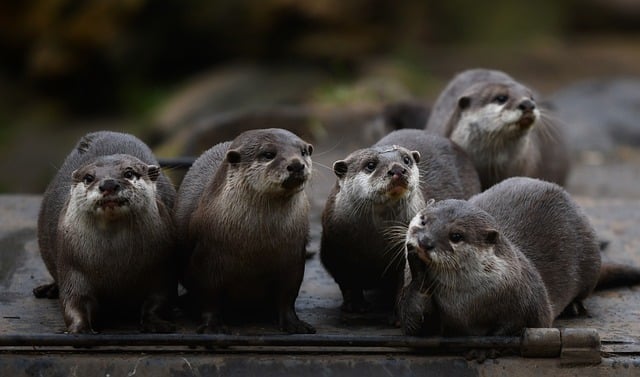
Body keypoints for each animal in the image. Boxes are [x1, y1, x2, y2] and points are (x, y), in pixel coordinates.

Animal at [35, 131, 178, 334]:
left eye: (129, 173)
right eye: (88, 177)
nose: (108, 184)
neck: (114, 265)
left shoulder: (161, 267)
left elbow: (159, 300)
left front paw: (157, 323)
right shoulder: (73, 267)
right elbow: (74, 301)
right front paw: (81, 329)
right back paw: (48, 289)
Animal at [174, 128, 316, 334]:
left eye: (303, 151)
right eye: (268, 154)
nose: (296, 164)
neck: (257, 246)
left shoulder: (294, 258)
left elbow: (288, 295)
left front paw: (294, 323)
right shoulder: (206, 256)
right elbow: (208, 296)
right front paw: (212, 326)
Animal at [400, 178, 640, 336]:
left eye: (456, 236)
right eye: (423, 220)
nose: (425, 241)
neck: (465, 304)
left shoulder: (531, 300)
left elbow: (523, 324)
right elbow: (416, 324)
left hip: (590, 258)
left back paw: (574, 307)